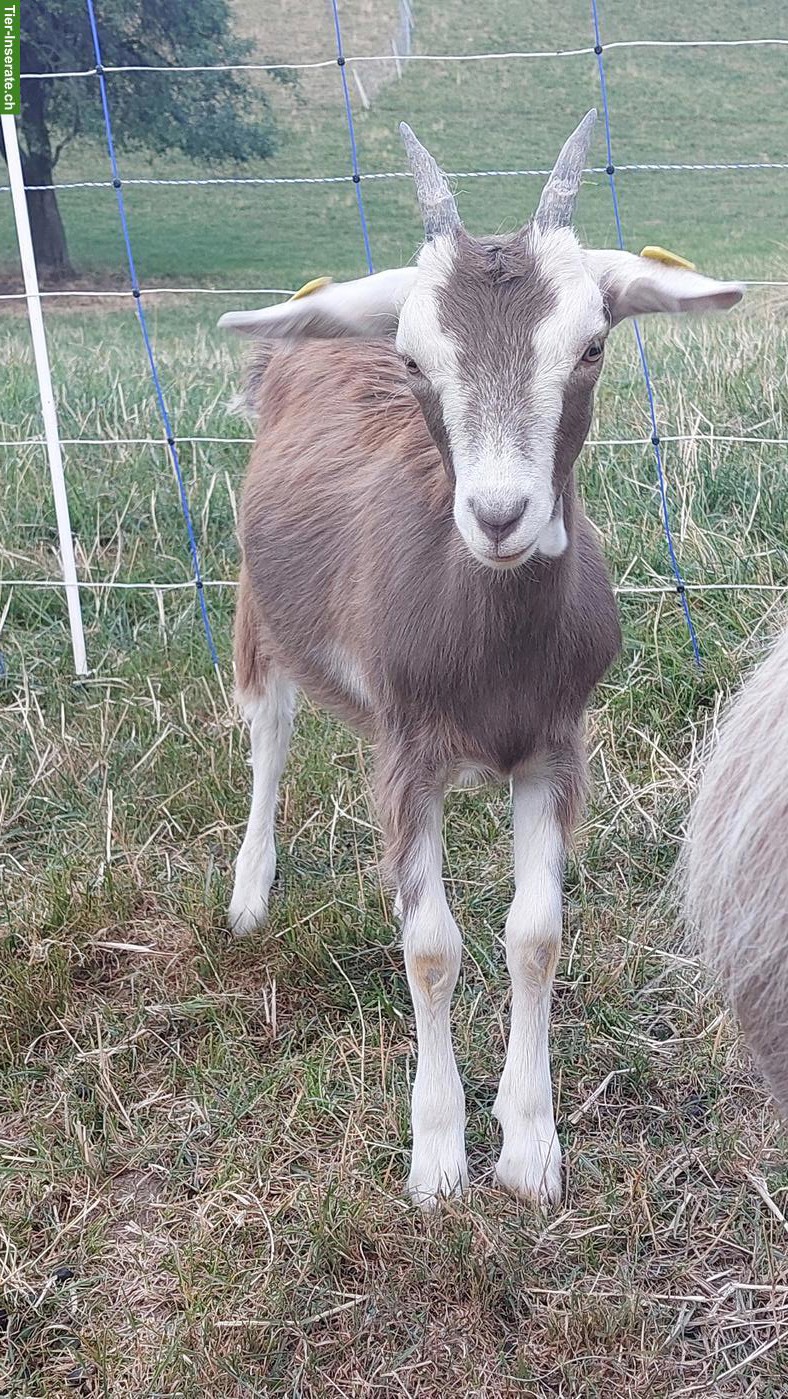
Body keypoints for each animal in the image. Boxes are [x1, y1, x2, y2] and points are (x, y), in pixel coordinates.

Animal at [219, 113, 744, 1208]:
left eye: (590, 347)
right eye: (416, 361)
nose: (501, 514)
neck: (488, 652)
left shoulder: (552, 745)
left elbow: (533, 934)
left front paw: (531, 1146)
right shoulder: (410, 752)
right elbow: (428, 946)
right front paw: (437, 1157)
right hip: (257, 605)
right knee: (269, 732)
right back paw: (248, 893)